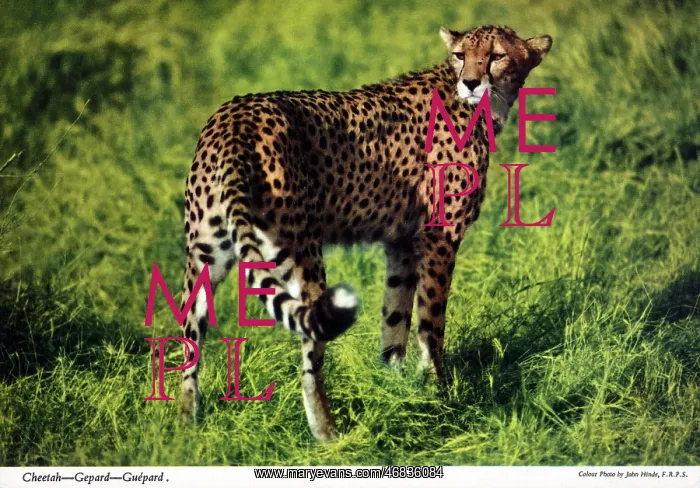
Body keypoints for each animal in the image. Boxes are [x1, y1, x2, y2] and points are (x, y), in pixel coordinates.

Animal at [179, 24, 552, 440]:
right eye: (460, 55)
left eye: (497, 55)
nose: (471, 82)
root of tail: (236, 116)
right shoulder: (440, 236)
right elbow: (431, 324)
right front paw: (437, 392)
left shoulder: (401, 243)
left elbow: (395, 320)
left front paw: (395, 389)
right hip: (302, 255)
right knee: (310, 352)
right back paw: (327, 434)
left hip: (207, 252)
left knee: (188, 340)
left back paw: (185, 429)